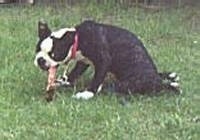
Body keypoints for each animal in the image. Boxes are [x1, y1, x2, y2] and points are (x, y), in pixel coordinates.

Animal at [34, 20, 180, 100]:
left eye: (54, 54)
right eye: (37, 49)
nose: (40, 60)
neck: (77, 39)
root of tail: (157, 80)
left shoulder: (103, 60)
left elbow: (97, 78)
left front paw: (87, 93)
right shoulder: (83, 61)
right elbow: (75, 72)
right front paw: (65, 82)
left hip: (129, 82)